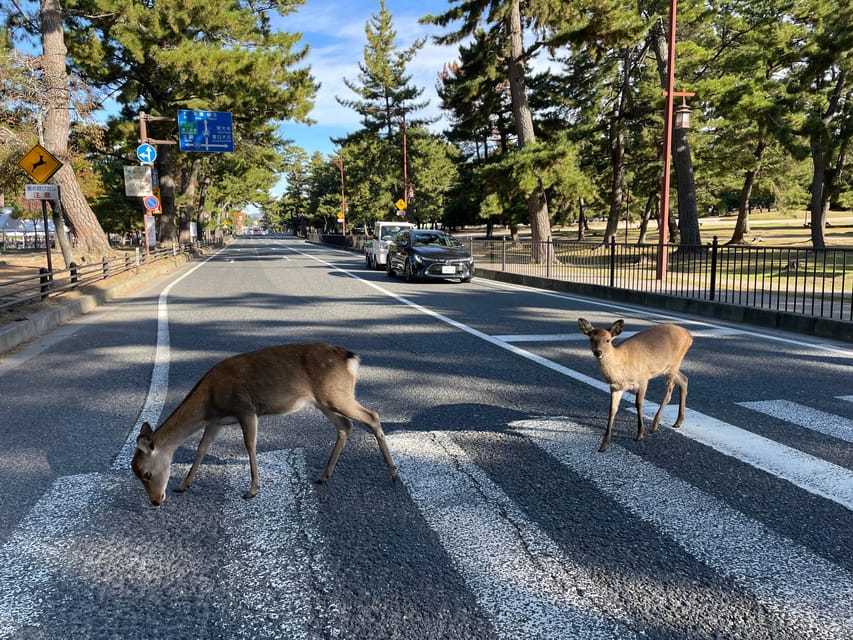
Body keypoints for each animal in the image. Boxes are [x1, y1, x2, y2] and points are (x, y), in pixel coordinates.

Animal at [131, 340, 398, 504]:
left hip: (336, 394)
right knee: (345, 426)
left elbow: (250, 446)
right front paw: (183, 485)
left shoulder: (246, 409)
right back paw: (324, 475)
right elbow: (202, 448)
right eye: (136, 474)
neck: (210, 401)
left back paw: (394, 475)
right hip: (324, 400)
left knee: (372, 416)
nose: (155, 501)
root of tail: (351, 358)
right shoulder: (216, 421)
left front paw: (251, 490)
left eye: (146, 473)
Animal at [576, 318, 688, 452]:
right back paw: (678, 421)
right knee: (684, 380)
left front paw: (640, 434)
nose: (598, 352)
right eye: (591, 338)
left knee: (670, 391)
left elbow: (638, 404)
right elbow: (612, 410)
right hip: (668, 367)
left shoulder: (643, 379)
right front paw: (604, 445)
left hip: (674, 364)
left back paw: (654, 425)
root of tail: (689, 335)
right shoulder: (615, 387)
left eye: (608, 340)